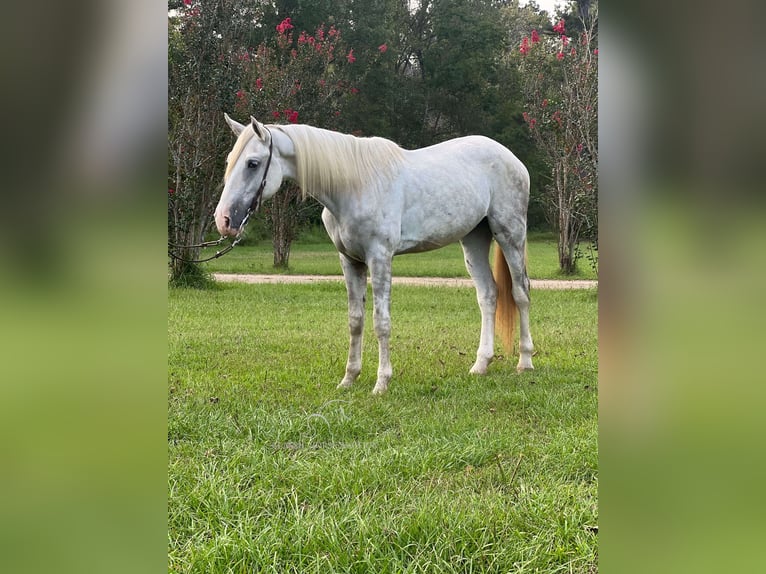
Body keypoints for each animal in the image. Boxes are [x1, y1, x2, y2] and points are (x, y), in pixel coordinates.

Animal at [216, 116, 536, 396]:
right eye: (229, 161)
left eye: (253, 163)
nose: (224, 220)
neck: (353, 185)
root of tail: (512, 158)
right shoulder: (350, 261)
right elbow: (355, 320)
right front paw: (349, 379)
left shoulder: (380, 258)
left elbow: (381, 321)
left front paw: (381, 383)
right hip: (473, 239)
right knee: (488, 295)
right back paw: (480, 365)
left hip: (510, 234)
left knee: (520, 293)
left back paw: (525, 361)